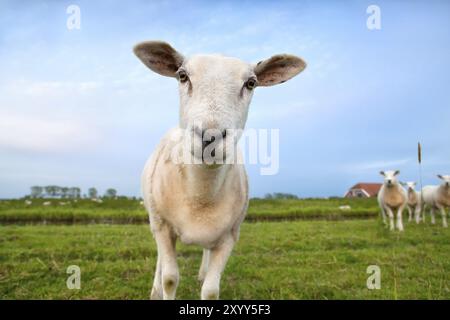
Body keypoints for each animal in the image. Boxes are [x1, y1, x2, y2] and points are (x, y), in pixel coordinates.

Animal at [134, 40, 308, 300]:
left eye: (251, 83)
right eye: (182, 76)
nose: (210, 135)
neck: (200, 195)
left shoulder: (230, 236)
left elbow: (211, 291)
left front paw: (206, 281)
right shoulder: (163, 227)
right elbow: (170, 278)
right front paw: (162, 287)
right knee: (160, 261)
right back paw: (155, 289)